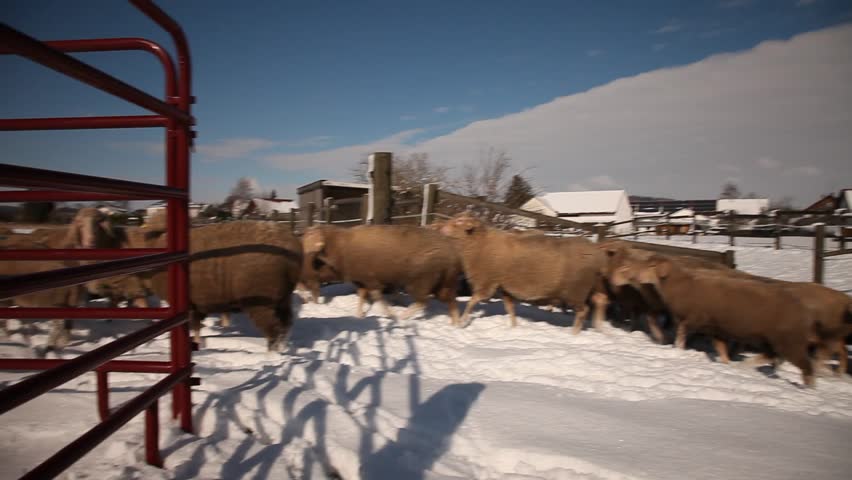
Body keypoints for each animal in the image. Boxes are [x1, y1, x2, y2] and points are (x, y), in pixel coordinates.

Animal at [123, 221, 302, 351]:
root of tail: (292, 247)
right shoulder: (197, 303)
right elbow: (197, 326)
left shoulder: (189, 305)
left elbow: (193, 326)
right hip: (283, 297)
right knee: (286, 325)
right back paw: (283, 349)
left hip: (260, 300)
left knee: (273, 330)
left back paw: (272, 356)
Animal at [301, 224, 462, 324]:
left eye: (311, 239)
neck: (341, 246)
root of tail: (450, 251)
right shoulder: (362, 280)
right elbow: (362, 297)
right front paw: (359, 316)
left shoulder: (370, 278)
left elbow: (376, 297)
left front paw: (390, 314)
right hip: (442, 281)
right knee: (450, 300)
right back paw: (456, 324)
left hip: (422, 279)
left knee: (422, 302)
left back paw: (403, 317)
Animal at [439, 213, 609, 331]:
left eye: (459, 222)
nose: (441, 228)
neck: (480, 243)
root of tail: (597, 255)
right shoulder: (504, 287)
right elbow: (510, 308)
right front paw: (513, 327)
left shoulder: (487, 282)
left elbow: (472, 301)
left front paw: (461, 322)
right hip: (592, 285)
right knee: (600, 300)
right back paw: (601, 330)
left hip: (576, 289)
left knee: (583, 311)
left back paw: (574, 334)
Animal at [610, 252, 816, 387]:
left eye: (652, 266)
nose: (634, 276)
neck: (681, 285)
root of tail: (803, 311)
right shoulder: (715, 328)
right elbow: (720, 348)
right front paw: (725, 364)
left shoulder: (695, 319)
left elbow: (681, 334)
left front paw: (677, 348)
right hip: (775, 339)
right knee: (772, 356)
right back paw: (745, 366)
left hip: (788, 340)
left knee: (805, 366)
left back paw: (808, 388)